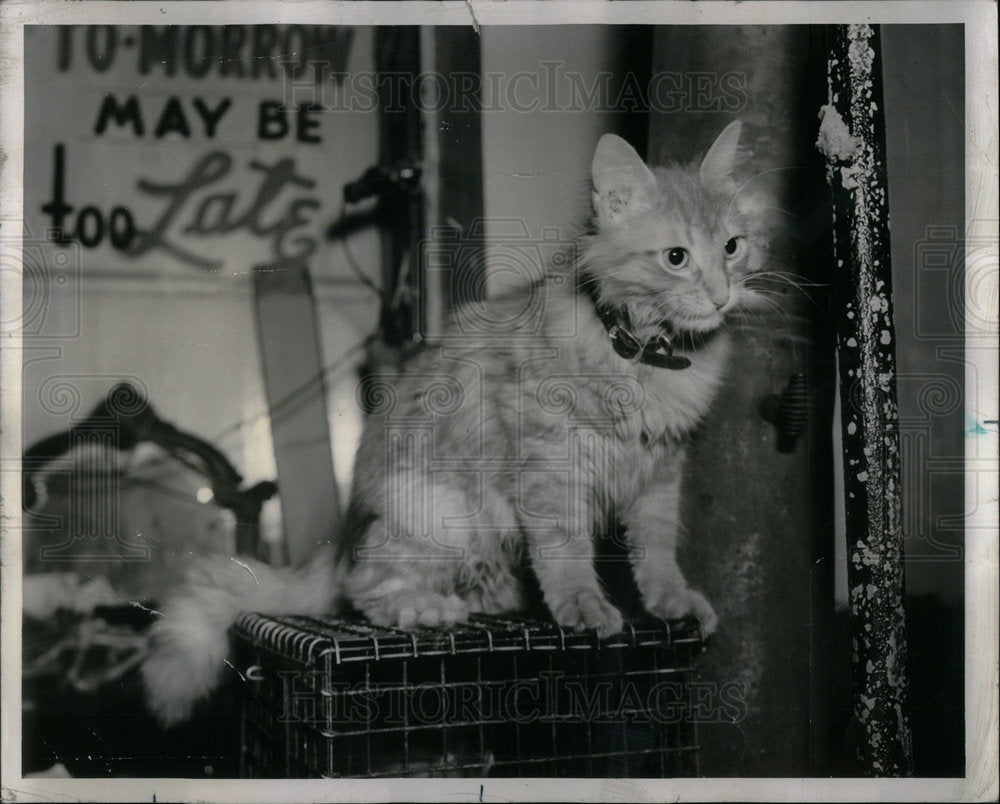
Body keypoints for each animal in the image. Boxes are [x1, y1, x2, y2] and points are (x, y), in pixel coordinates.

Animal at [139, 121, 764, 728]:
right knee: (364, 588)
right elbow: (565, 553)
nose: (721, 296)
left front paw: (673, 601)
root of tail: (342, 538)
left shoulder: (661, 471)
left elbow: (656, 548)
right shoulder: (549, 466)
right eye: (676, 257)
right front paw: (583, 607)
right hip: (441, 512)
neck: (646, 356)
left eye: (732, 247)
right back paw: (427, 608)